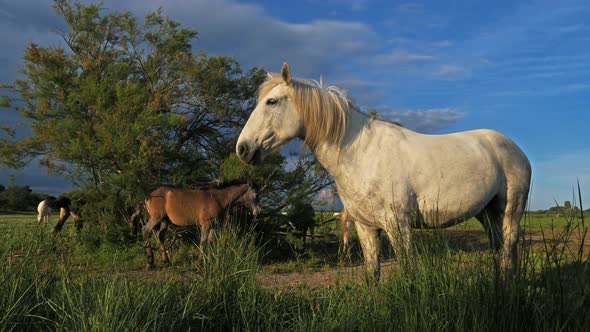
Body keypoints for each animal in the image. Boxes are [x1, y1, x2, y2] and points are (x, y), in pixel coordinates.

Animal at [238, 62, 536, 280]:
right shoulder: (365, 227)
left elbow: (407, 271)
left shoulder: (397, 224)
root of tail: (514, 149)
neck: (362, 154)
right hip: (486, 213)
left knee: (508, 250)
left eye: (272, 102)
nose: (243, 149)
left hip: (510, 211)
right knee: (500, 250)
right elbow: (373, 274)